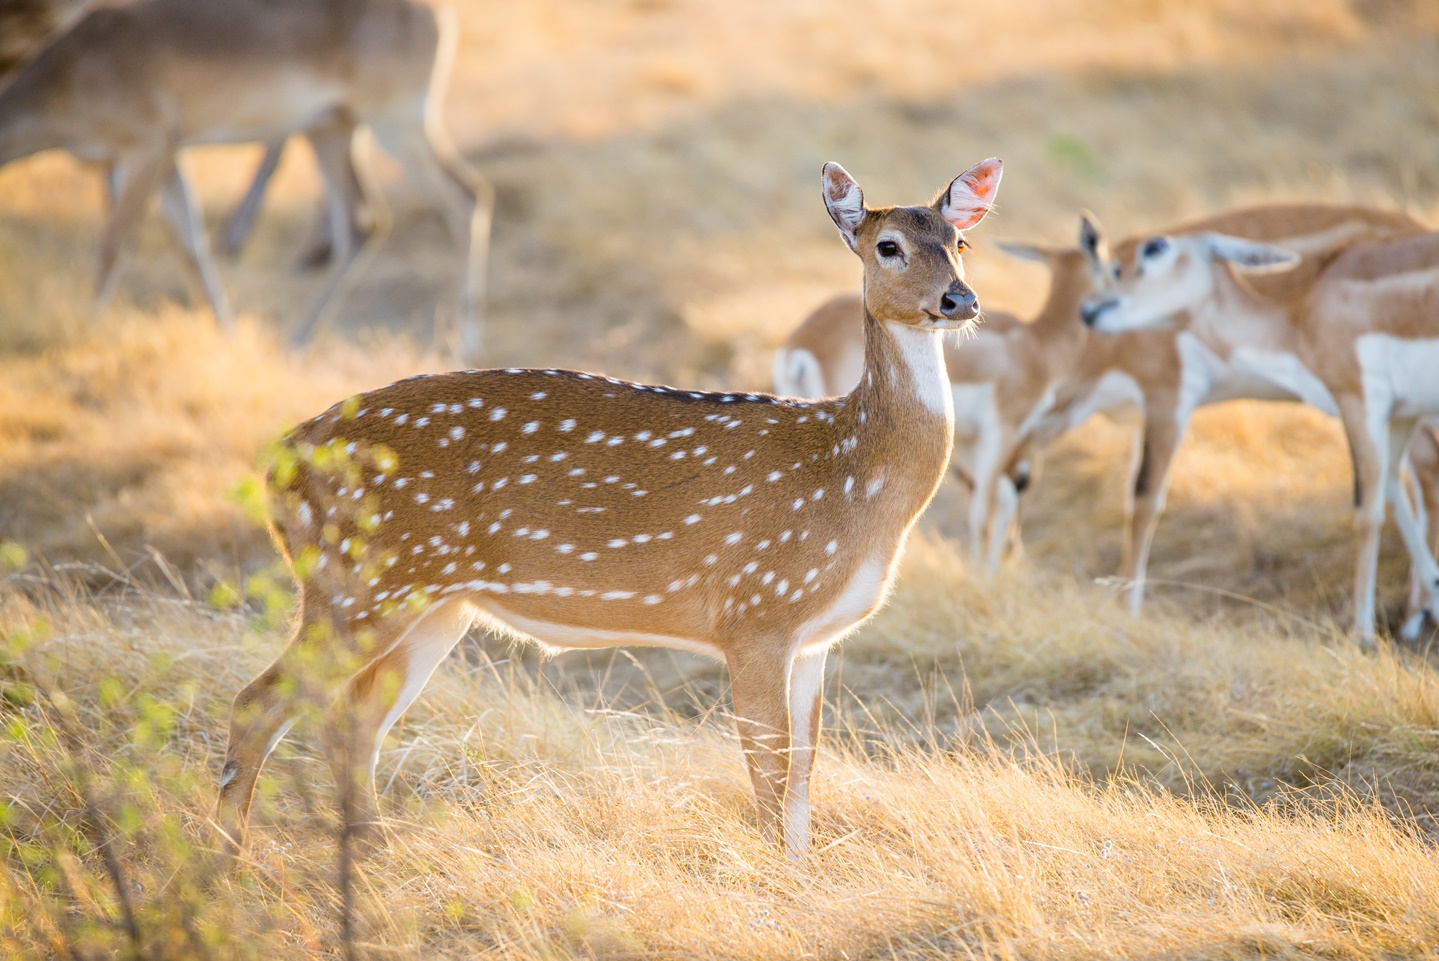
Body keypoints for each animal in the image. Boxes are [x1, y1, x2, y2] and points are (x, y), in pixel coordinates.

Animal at [0, 0, 492, 356]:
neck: (67, 70)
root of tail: (439, 14)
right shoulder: (167, 158)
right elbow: (192, 247)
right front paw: (230, 335)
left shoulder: (144, 148)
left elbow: (114, 245)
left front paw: (86, 328)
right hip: (331, 130)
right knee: (362, 222)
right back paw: (296, 339)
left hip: (396, 122)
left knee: (466, 196)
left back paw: (464, 342)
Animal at [212, 159, 1007, 863]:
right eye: (887, 245)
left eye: (960, 242)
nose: (959, 301)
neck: (851, 477)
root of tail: (279, 466)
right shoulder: (755, 611)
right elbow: (769, 774)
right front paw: (773, 881)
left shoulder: (816, 637)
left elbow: (806, 776)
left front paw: (802, 875)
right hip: (361, 583)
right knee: (259, 703)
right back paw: (229, 861)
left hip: (429, 603)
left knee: (354, 720)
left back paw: (371, 852)